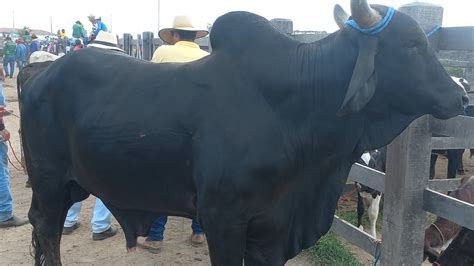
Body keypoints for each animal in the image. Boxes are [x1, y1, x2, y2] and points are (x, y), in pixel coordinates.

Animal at [20, 4, 464, 266]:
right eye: (411, 44)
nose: (460, 95)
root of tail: (40, 70)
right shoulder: (223, 218)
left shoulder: (272, 227)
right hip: (49, 181)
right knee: (46, 228)